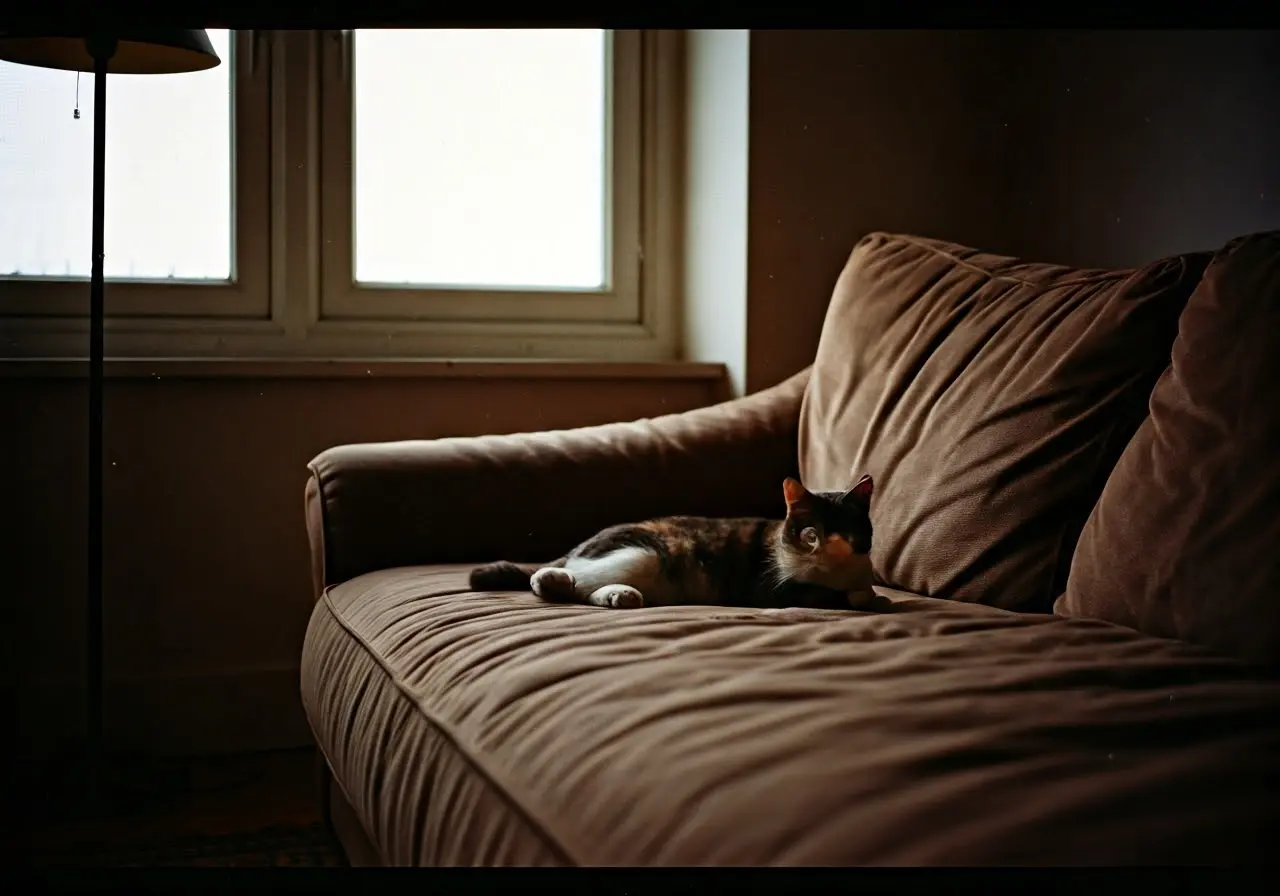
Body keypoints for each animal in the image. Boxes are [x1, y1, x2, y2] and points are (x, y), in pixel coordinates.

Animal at [471, 473, 880, 611]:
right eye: (810, 533)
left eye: (848, 529)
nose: (829, 547)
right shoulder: (772, 587)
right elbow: (832, 594)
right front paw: (854, 596)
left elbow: (865, 590)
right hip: (645, 553)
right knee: (560, 577)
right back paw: (555, 580)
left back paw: (620, 596)